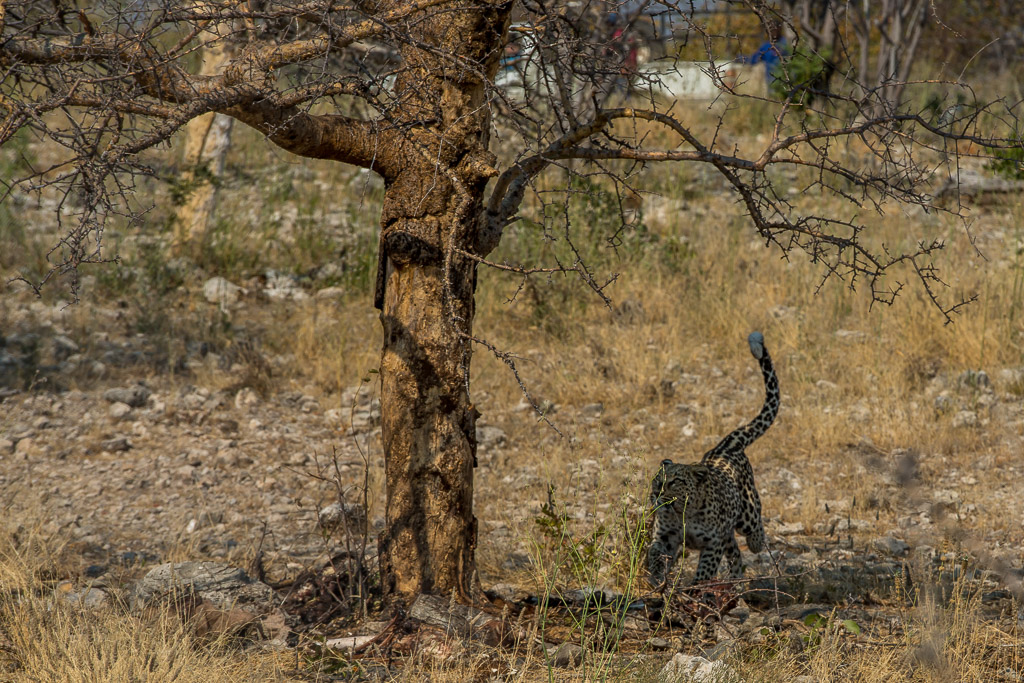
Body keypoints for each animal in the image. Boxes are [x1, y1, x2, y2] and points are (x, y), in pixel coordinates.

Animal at [647, 331, 779, 588]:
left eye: (674, 482)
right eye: (656, 481)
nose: (656, 494)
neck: (683, 513)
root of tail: (725, 446)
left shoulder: (712, 543)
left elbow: (705, 572)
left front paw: (695, 590)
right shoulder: (664, 537)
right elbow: (655, 555)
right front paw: (655, 578)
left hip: (746, 514)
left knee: (755, 525)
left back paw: (756, 544)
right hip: (728, 534)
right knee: (735, 552)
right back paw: (735, 579)